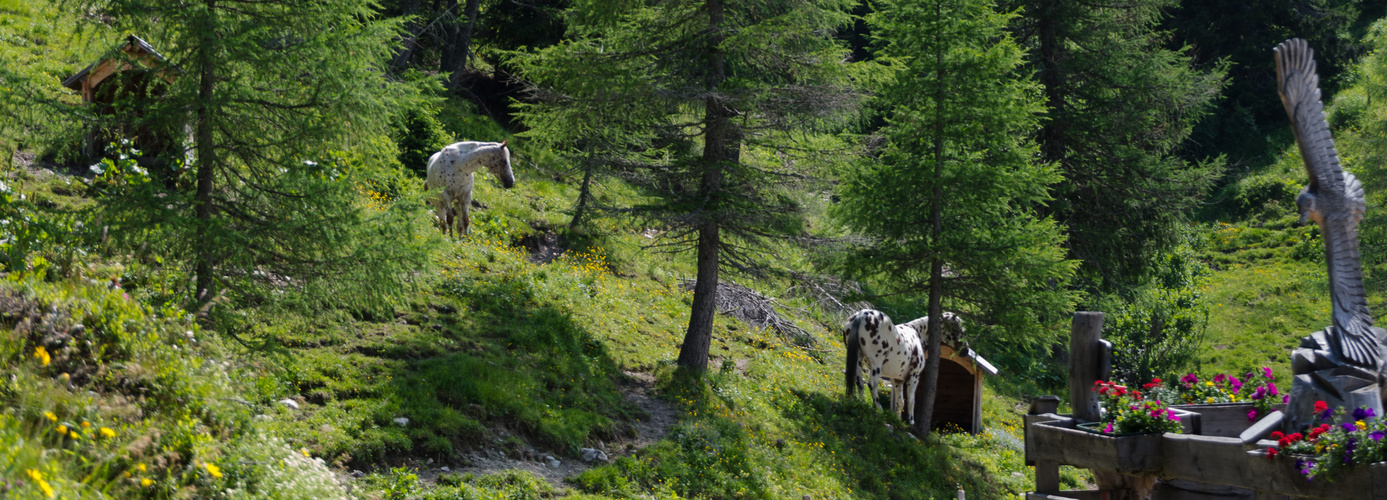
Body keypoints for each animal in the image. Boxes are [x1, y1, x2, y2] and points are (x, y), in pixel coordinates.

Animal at [837, 306, 970, 424]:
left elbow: (900, 402)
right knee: (872, 385)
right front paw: (910, 422)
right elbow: (911, 400)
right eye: (958, 330)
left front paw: (897, 420)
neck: (917, 333)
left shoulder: (898, 380)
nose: (966, 350)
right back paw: (879, 410)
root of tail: (861, 315)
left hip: (858, 361)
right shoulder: (914, 377)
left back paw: (862, 403)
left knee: (859, 382)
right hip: (876, 364)